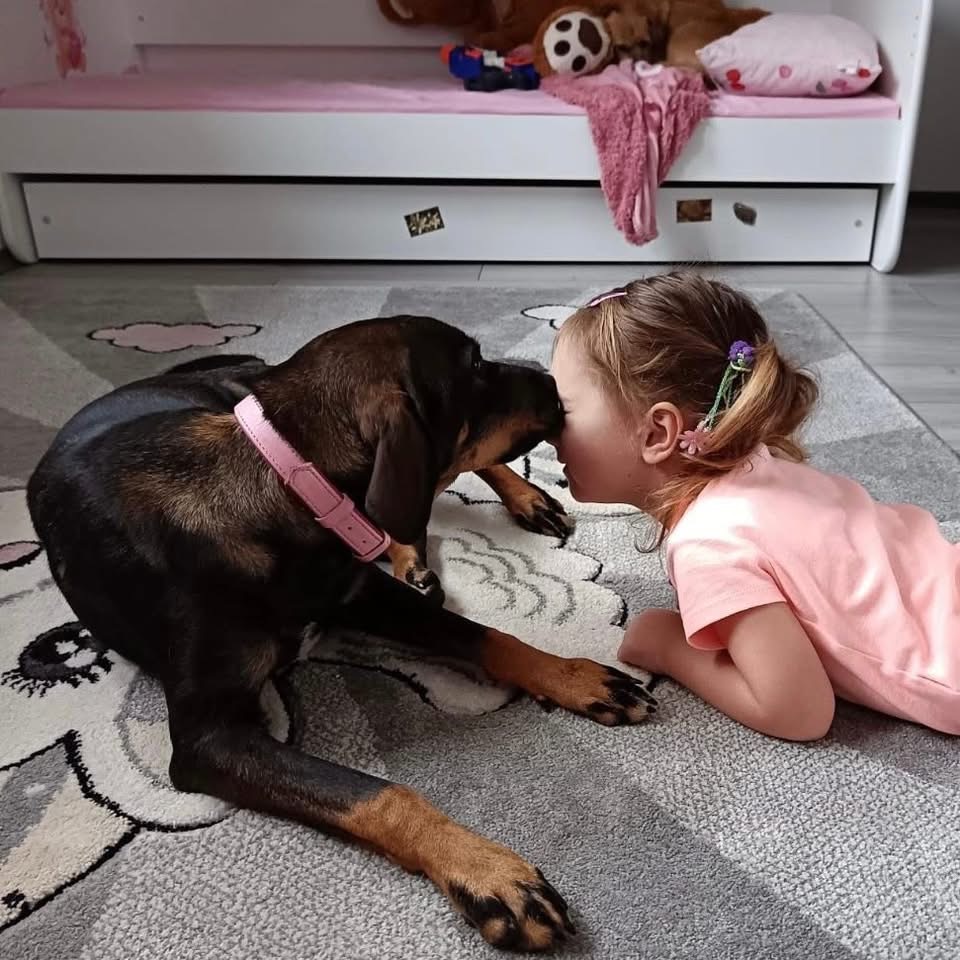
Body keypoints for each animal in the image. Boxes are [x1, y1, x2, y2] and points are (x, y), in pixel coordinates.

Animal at [27, 314, 657, 951]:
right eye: (476, 367)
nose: (554, 382)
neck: (285, 487)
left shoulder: (360, 593)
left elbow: (488, 636)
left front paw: (577, 678)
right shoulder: (212, 739)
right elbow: (376, 792)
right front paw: (489, 874)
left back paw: (519, 504)